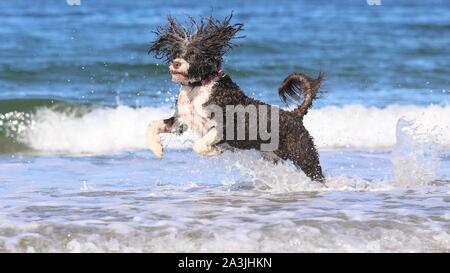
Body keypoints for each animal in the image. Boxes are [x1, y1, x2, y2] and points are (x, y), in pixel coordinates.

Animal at [146, 13, 326, 182]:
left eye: (192, 54)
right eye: (176, 52)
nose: (176, 63)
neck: (198, 87)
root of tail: (294, 114)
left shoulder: (225, 126)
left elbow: (199, 145)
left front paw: (214, 150)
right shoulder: (182, 121)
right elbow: (153, 125)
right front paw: (157, 149)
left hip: (304, 155)